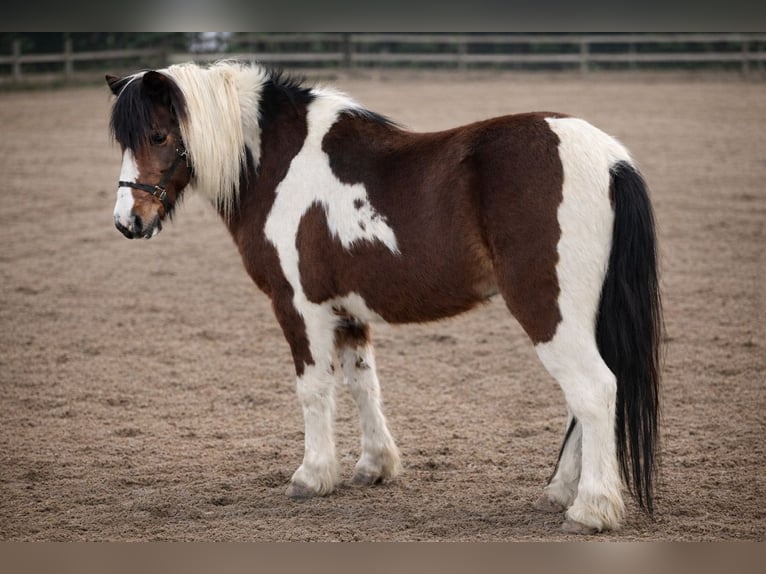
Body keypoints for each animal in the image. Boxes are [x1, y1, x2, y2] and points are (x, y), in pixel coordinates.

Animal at [105, 61, 662, 534]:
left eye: (158, 135)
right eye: (124, 141)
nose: (128, 221)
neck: (279, 165)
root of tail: (610, 159)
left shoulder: (298, 305)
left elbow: (314, 389)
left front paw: (312, 475)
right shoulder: (346, 311)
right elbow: (362, 383)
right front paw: (374, 466)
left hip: (548, 310)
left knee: (594, 391)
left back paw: (590, 509)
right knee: (583, 399)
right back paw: (561, 492)